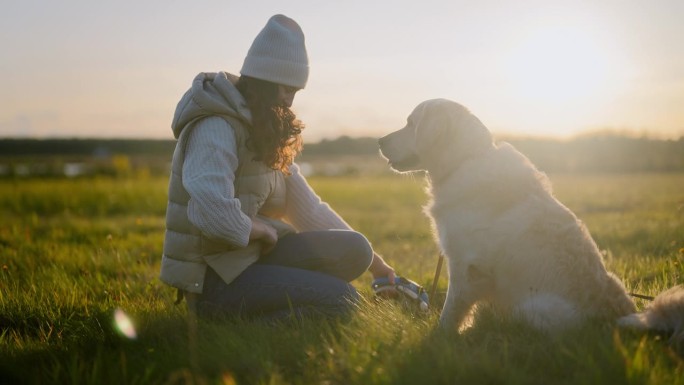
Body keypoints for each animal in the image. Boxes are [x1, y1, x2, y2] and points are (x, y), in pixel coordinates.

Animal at [380, 99, 684, 342]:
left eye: (411, 124)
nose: (380, 141)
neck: (464, 161)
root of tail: (617, 320)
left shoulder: (466, 267)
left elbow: (450, 311)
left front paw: (439, 338)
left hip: (529, 307)